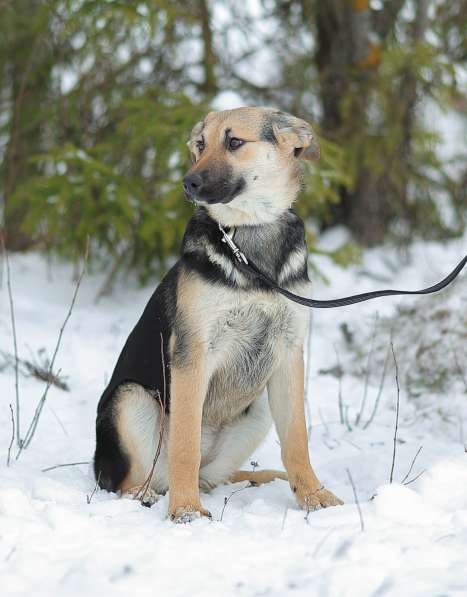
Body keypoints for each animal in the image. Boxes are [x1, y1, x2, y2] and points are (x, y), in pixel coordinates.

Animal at [94, 107, 344, 520]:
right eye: (200, 144)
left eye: (234, 142)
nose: (188, 183)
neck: (250, 235)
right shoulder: (194, 353)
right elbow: (185, 445)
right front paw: (185, 511)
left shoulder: (289, 353)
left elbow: (296, 440)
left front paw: (312, 496)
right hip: (131, 399)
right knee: (134, 480)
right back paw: (150, 496)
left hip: (258, 409)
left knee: (212, 478)